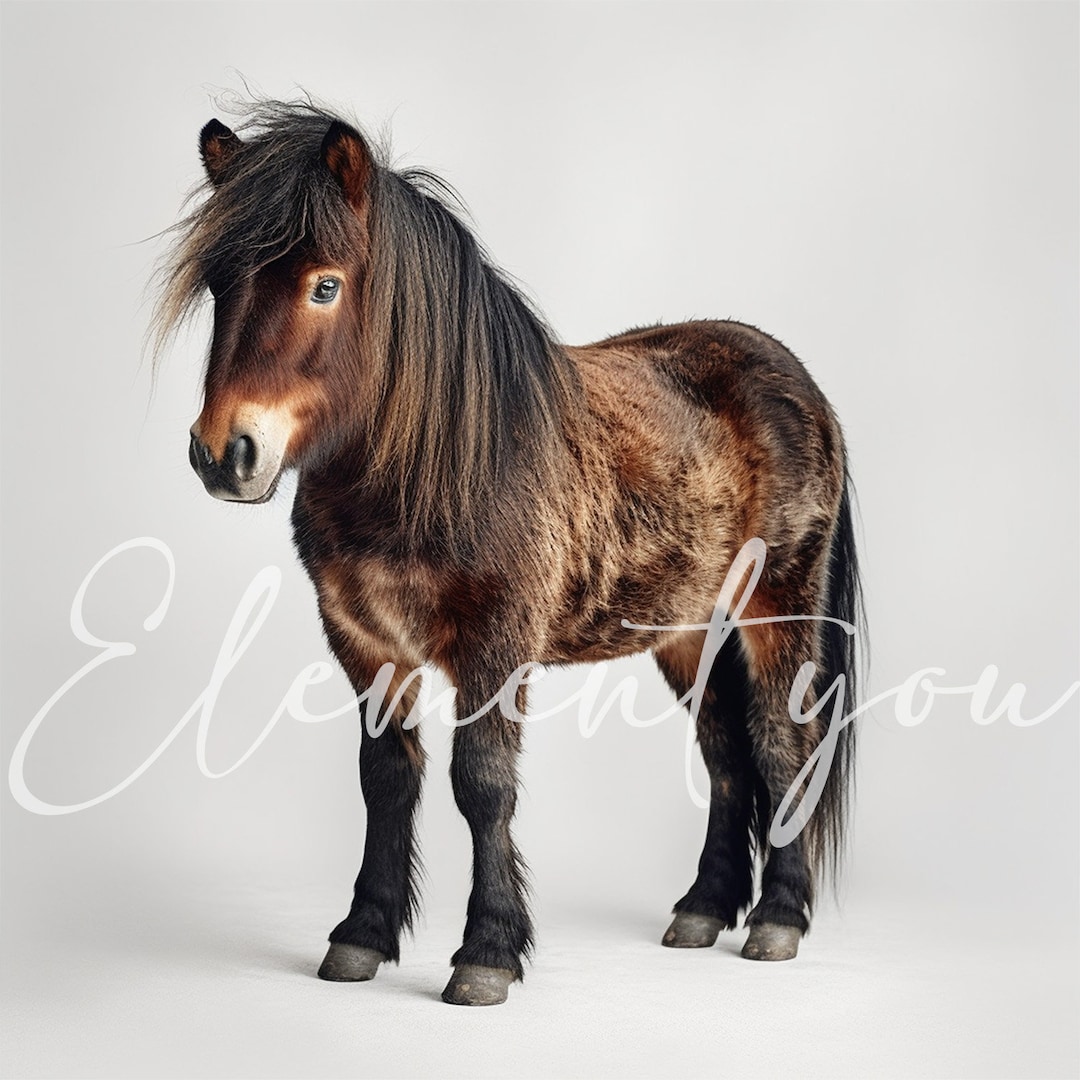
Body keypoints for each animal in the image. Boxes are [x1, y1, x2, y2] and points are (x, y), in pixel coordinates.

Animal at [156, 100, 862, 1007]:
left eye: (324, 284)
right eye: (218, 285)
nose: (224, 454)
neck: (440, 461)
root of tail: (796, 378)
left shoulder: (494, 645)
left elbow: (482, 785)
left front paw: (486, 952)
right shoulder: (364, 642)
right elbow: (386, 780)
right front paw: (361, 935)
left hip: (778, 610)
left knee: (780, 747)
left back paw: (777, 921)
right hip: (685, 632)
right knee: (726, 755)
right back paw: (703, 910)